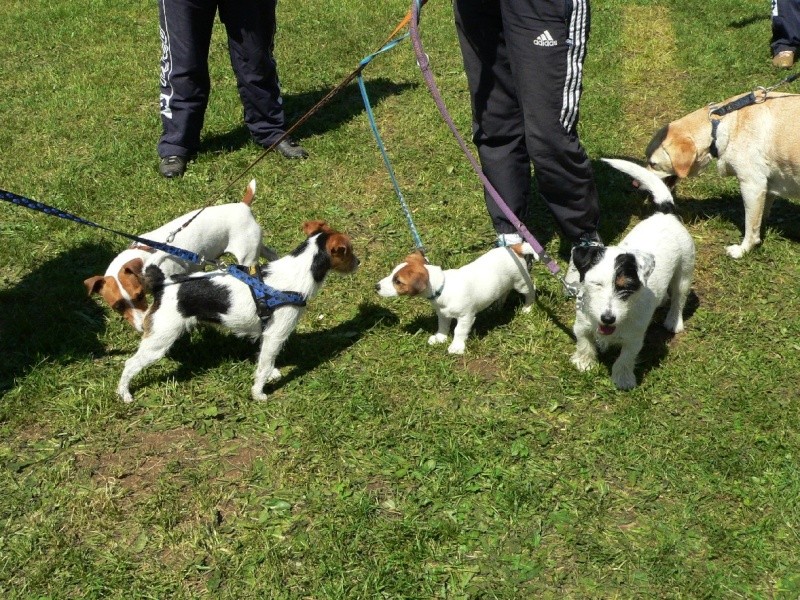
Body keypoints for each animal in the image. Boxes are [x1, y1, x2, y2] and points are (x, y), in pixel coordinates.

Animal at [84, 180, 268, 336]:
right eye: (117, 306)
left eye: (139, 296)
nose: (143, 327)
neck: (146, 259)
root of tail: (243, 206)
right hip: (255, 247)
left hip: (247, 257)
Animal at [115, 220, 360, 404]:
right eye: (348, 252)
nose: (359, 262)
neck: (299, 270)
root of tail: (162, 283)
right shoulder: (276, 334)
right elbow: (264, 367)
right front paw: (259, 393)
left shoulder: (266, 333)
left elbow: (264, 360)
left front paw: (272, 373)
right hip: (159, 340)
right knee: (130, 364)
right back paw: (124, 393)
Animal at [376, 244, 536, 354]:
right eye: (392, 274)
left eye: (398, 282)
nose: (376, 286)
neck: (442, 287)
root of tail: (514, 249)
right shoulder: (443, 314)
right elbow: (443, 326)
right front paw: (440, 338)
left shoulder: (465, 317)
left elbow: (459, 331)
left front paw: (456, 346)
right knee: (504, 292)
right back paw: (497, 306)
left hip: (521, 282)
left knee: (531, 291)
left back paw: (527, 308)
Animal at [572, 157, 696, 390]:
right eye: (597, 284)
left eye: (626, 287)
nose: (608, 318)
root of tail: (666, 212)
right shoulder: (582, 325)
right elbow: (584, 342)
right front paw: (584, 363)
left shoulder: (634, 339)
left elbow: (625, 358)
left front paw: (623, 379)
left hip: (685, 271)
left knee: (679, 297)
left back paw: (674, 320)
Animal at [644, 92, 800, 258]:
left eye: (653, 164)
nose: (636, 183)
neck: (719, 124)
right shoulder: (766, 185)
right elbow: (760, 217)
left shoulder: (752, 186)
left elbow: (750, 225)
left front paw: (743, 249)